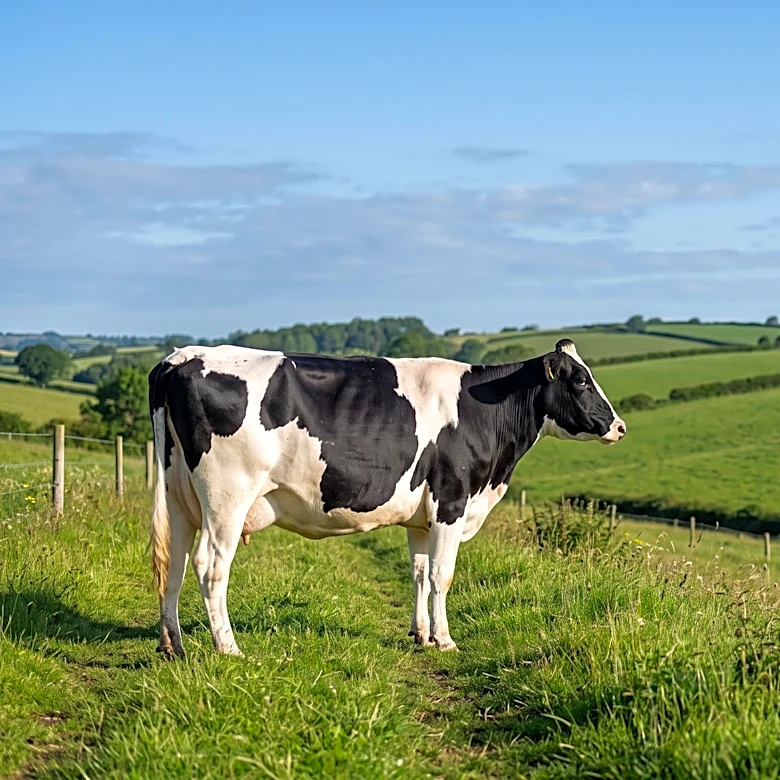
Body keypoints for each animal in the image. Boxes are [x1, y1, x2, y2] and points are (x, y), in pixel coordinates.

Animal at [148, 339, 626, 659]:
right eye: (581, 380)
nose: (620, 427)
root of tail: (180, 357)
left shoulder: (421, 516)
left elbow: (418, 573)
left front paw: (421, 635)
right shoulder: (452, 501)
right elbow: (442, 575)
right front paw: (445, 640)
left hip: (179, 493)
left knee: (175, 560)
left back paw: (173, 645)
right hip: (228, 494)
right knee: (210, 565)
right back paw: (228, 647)